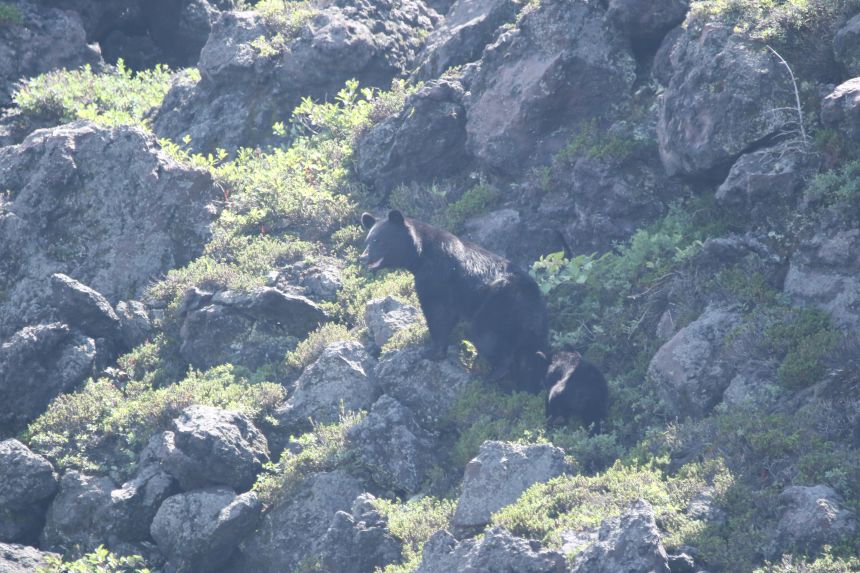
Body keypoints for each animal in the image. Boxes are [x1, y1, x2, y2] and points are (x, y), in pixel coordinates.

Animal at [360, 209, 549, 393]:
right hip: (532, 325)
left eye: (378, 240)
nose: (363, 257)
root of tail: (529, 295)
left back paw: (492, 376)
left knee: (486, 336)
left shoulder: (436, 276)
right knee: (530, 354)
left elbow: (437, 313)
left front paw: (430, 352)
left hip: (496, 306)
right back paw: (526, 385)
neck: (420, 254)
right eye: (367, 241)